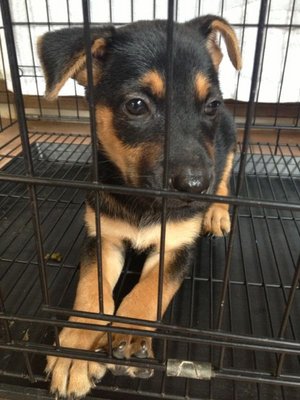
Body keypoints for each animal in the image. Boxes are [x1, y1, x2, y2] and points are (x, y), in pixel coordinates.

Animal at [37, 14, 241, 396]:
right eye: (136, 106)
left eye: (211, 105)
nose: (195, 187)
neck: (143, 200)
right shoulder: (103, 238)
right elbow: (90, 292)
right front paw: (75, 352)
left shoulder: (176, 247)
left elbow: (148, 291)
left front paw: (130, 336)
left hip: (229, 141)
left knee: (224, 175)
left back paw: (217, 213)